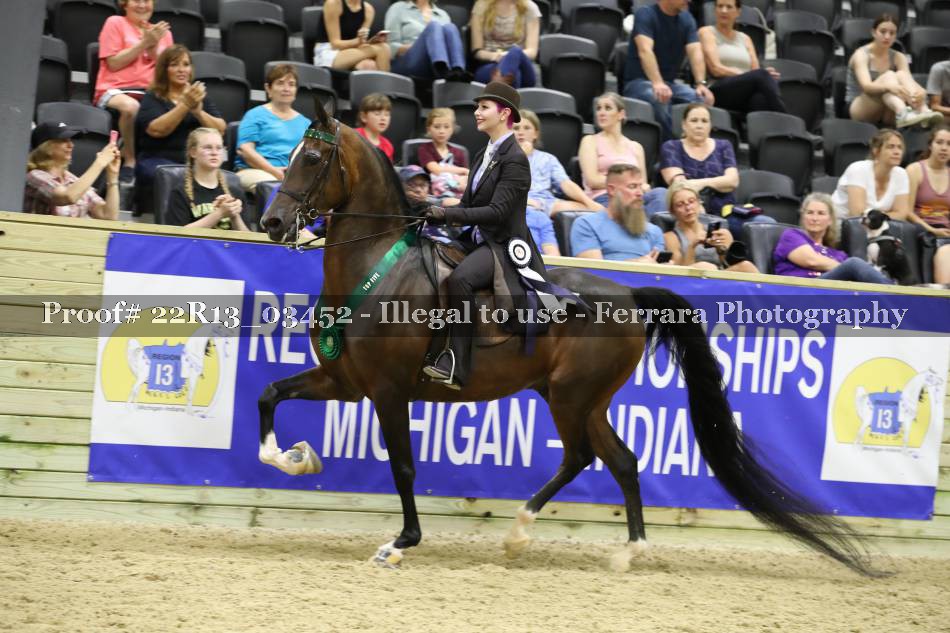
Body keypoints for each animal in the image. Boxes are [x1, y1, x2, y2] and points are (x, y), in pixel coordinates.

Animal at [257, 104, 879, 575]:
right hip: (585, 398)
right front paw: (297, 459)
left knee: (582, 456)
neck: (379, 268)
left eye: (311, 158)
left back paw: (521, 533)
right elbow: (269, 397)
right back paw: (628, 552)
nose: (272, 223)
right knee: (622, 460)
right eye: (287, 155)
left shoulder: (388, 391)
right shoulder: (344, 381)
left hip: (571, 395)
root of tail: (630, 295)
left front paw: (399, 543)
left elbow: (404, 469)